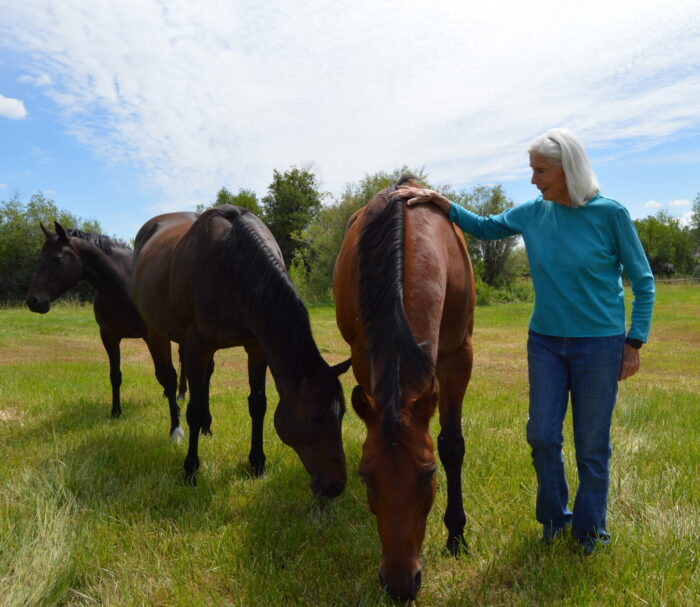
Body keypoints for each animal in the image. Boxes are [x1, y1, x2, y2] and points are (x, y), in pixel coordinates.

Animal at [25, 221, 186, 440]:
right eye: (39, 258)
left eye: (57, 258)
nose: (33, 301)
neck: (122, 286)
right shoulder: (109, 336)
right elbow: (115, 375)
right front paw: (115, 412)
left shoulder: (155, 337)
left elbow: (167, 377)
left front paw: (176, 428)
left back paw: (181, 396)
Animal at [130, 205, 351, 493]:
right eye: (316, 415)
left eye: (343, 412)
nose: (335, 485)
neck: (230, 262)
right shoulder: (195, 346)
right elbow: (194, 409)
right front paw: (191, 470)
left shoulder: (256, 346)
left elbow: (258, 404)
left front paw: (257, 464)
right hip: (156, 331)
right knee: (168, 380)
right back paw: (176, 431)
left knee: (206, 378)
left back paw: (207, 428)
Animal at [333, 176, 475, 601]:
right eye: (366, 476)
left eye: (428, 475)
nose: (399, 585)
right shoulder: (364, 356)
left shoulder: (458, 357)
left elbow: (452, 445)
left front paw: (456, 536)